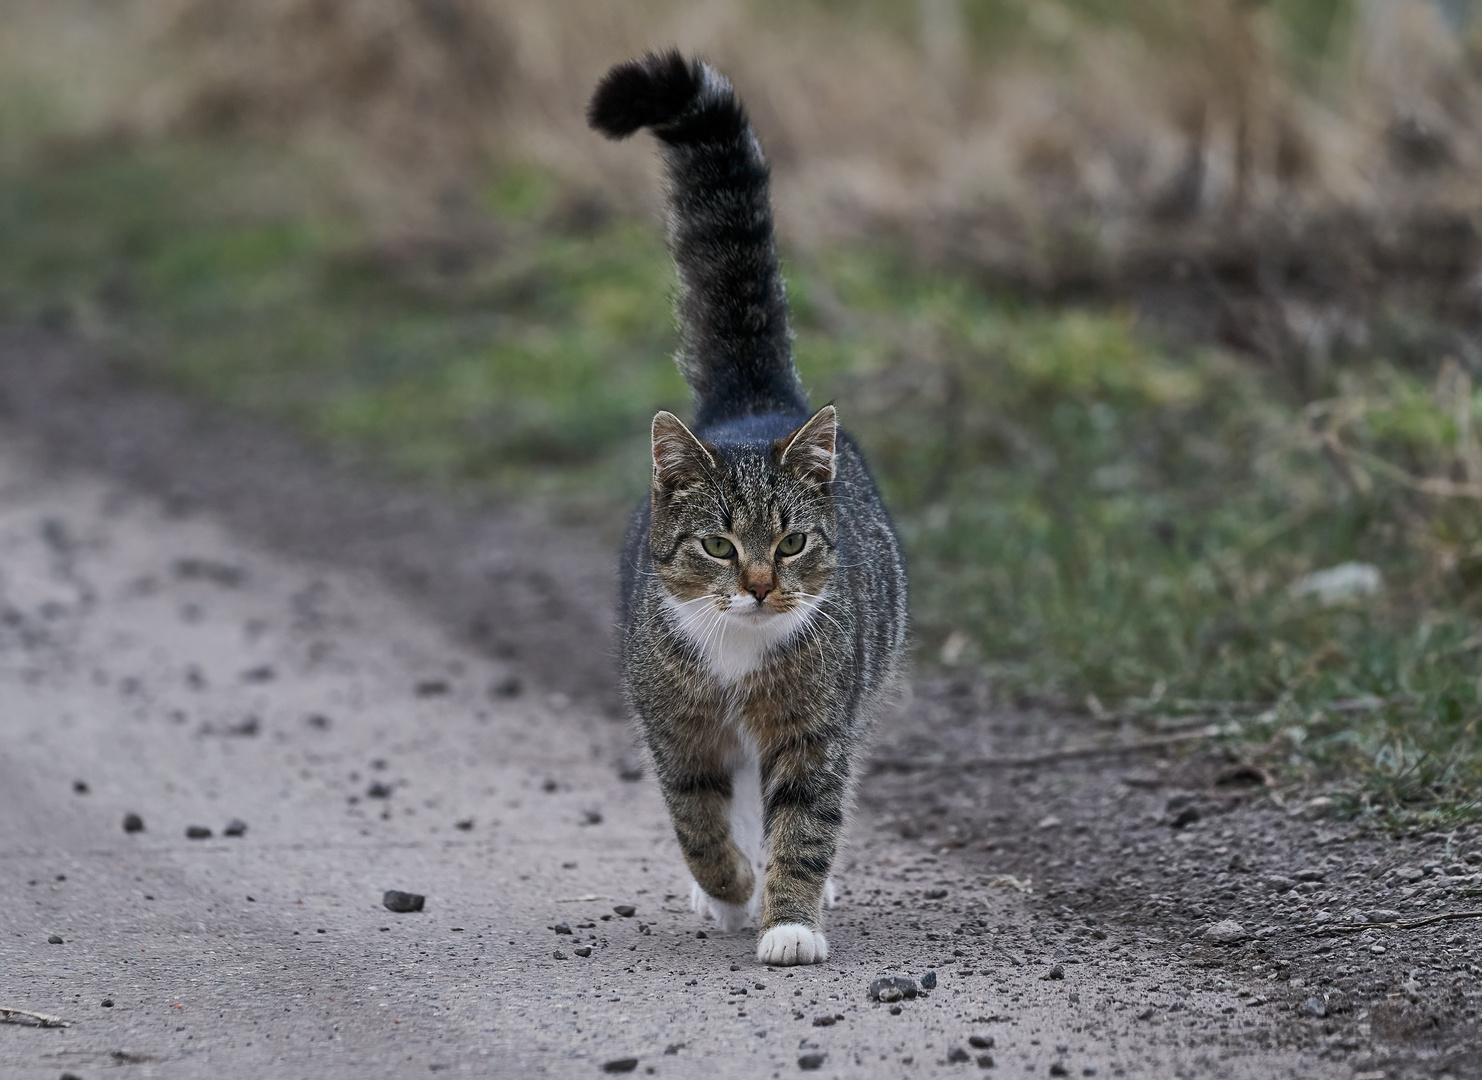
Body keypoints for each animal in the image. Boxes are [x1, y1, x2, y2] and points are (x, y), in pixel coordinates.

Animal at [586, 50, 906, 965]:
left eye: (791, 543)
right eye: (720, 547)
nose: (762, 584)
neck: (735, 652)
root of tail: (756, 400)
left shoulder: (816, 728)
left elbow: (804, 824)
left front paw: (789, 919)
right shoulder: (676, 728)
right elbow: (696, 820)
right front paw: (728, 890)